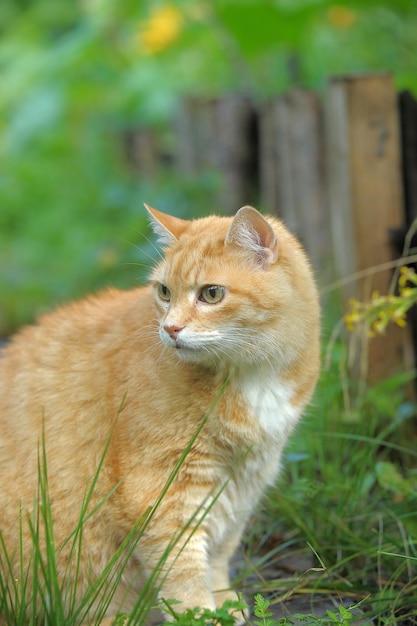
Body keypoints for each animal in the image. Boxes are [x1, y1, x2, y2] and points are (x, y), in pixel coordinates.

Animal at [0, 204, 322, 620]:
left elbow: (219, 553)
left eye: (211, 294)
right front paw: (202, 616)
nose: (170, 328)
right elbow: (184, 573)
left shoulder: (244, 483)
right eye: (164, 292)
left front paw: (225, 603)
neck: (249, 375)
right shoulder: (161, 493)